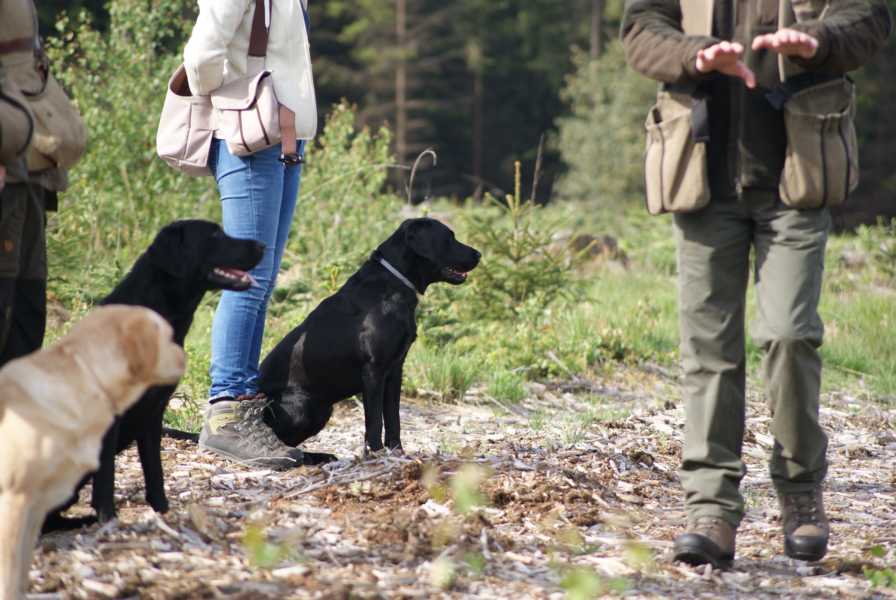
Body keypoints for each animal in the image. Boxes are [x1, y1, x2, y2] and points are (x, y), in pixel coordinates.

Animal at [0, 305, 185, 600]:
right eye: (167, 337)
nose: (184, 355)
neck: (86, 377)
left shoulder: (33, 509)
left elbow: (19, 574)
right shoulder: (13, 501)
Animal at [42, 220, 264, 532]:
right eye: (214, 234)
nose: (263, 245)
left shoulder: (153, 411)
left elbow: (155, 470)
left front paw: (163, 512)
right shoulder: (111, 417)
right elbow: (107, 476)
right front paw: (109, 520)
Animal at [258, 218, 480, 461]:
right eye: (449, 237)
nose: (479, 254)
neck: (394, 283)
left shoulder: (395, 370)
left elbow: (393, 417)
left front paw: (397, 451)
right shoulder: (374, 370)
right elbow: (374, 419)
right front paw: (375, 453)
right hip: (303, 405)